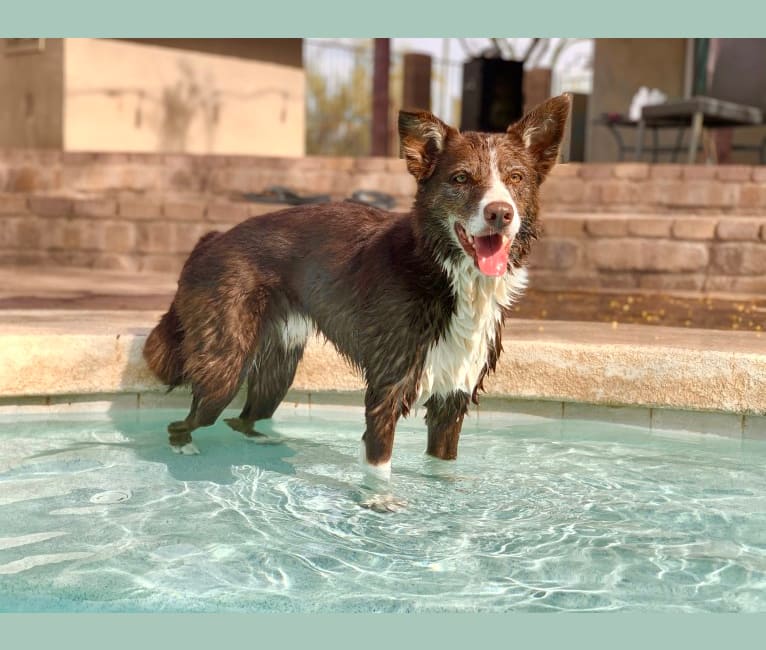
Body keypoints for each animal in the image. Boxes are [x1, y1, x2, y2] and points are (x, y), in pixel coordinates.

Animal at [144, 93, 572, 484]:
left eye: (516, 178)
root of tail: (211, 239)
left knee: (245, 417)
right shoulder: (387, 389)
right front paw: (380, 506)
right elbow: (379, 469)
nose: (500, 213)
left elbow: (442, 468)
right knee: (185, 420)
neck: (443, 271)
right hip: (224, 368)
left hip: (278, 368)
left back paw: (265, 442)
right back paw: (185, 448)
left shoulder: (452, 399)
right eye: (461, 178)